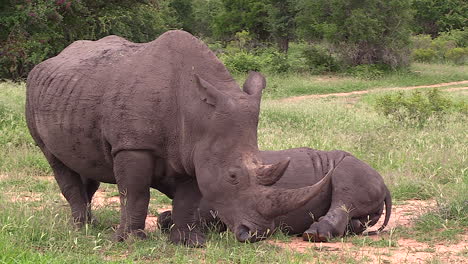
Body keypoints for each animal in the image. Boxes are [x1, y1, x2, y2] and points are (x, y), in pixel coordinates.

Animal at [25, 31, 330, 248]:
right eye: (232, 176)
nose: (257, 234)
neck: (197, 113)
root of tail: (50, 61)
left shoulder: (193, 152)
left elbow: (188, 199)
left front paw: (189, 243)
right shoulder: (133, 145)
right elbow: (135, 193)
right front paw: (132, 241)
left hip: (71, 94)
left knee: (85, 164)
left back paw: (91, 225)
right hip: (33, 93)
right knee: (55, 160)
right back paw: (82, 228)